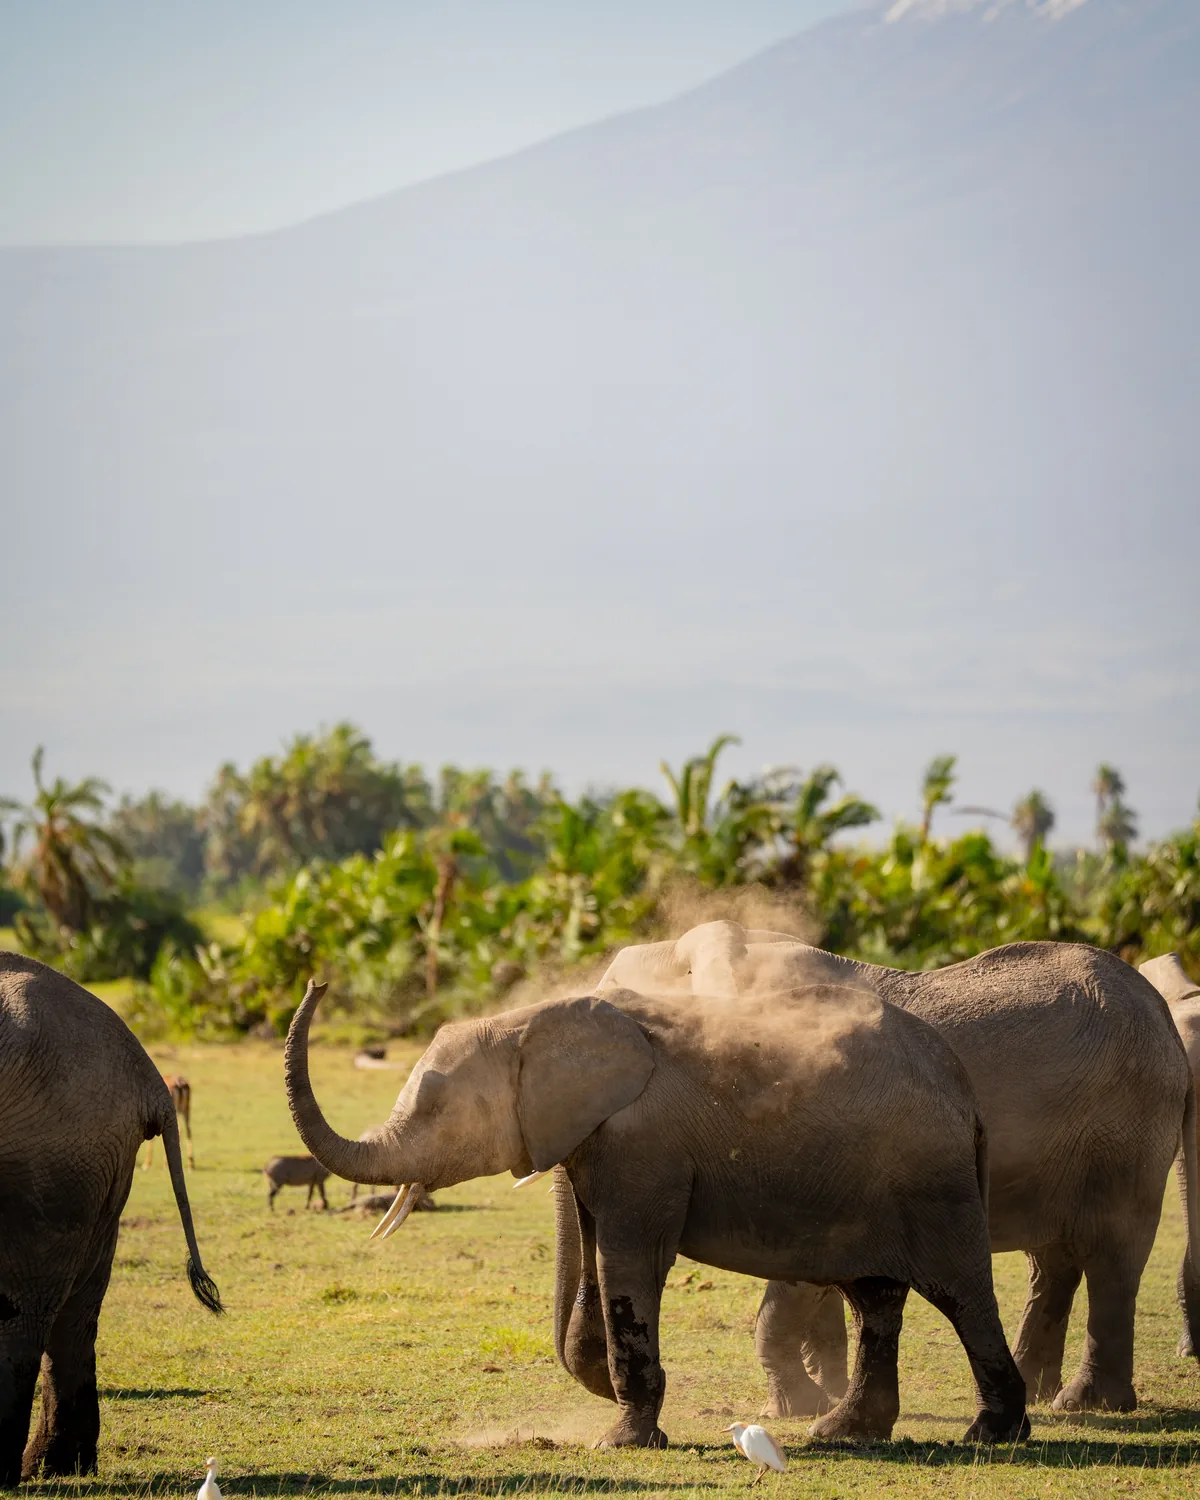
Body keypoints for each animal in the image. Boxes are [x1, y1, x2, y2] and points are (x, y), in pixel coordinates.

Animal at [0, 954, 222, 1485]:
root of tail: (147, 1074)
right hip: (94, 1158)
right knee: (77, 1310)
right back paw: (60, 1467)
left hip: (48, 1154)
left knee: (22, 1310)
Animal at [285, 977, 1030, 1448]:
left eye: (437, 1104)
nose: (319, 981)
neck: (534, 1017)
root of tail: (964, 1091)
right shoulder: (601, 1148)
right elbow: (599, 1259)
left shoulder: (642, 1148)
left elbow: (629, 1262)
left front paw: (621, 1442)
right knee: (876, 1299)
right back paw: (845, 1434)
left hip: (931, 1180)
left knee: (961, 1294)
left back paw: (993, 1435)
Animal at [597, 924, 1200, 1417]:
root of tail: (1160, 1010)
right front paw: (824, 1398)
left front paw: (799, 1409)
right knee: (1054, 1259)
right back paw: (1039, 1391)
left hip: (1129, 1127)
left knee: (1112, 1251)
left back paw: (1087, 1403)